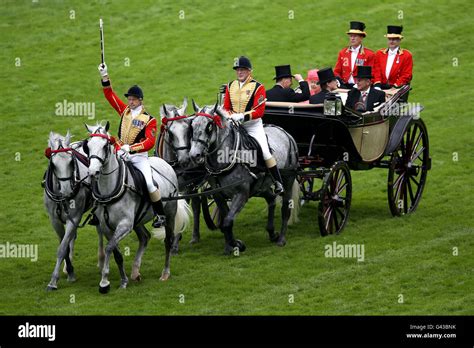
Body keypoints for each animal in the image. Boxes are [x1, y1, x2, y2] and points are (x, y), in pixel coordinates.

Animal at [86, 122, 190, 294]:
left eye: (105, 146)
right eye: (87, 146)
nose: (92, 171)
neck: (111, 189)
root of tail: (166, 164)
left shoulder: (125, 225)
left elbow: (109, 248)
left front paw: (104, 282)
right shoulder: (106, 227)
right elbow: (116, 252)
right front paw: (123, 281)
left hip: (169, 214)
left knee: (167, 240)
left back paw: (165, 273)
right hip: (138, 220)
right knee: (145, 237)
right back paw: (135, 272)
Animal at [189, 104, 300, 254]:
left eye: (209, 126)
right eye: (192, 125)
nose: (194, 155)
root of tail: (285, 133)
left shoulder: (241, 193)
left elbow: (227, 222)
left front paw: (236, 244)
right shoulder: (218, 195)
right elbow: (225, 221)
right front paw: (230, 246)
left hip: (287, 180)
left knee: (285, 209)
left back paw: (281, 239)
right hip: (260, 187)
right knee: (271, 199)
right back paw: (272, 233)